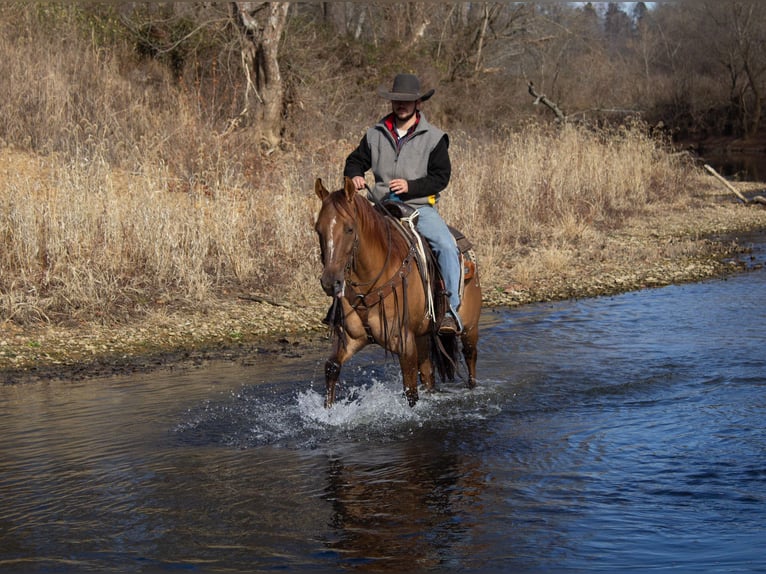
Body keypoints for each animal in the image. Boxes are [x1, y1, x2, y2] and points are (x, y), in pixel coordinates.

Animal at [312, 178, 480, 408]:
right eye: (318, 229)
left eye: (349, 229)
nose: (330, 282)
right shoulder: (350, 338)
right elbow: (332, 368)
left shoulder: (404, 344)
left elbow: (410, 393)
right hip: (423, 335)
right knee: (428, 374)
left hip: (469, 329)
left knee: (470, 363)